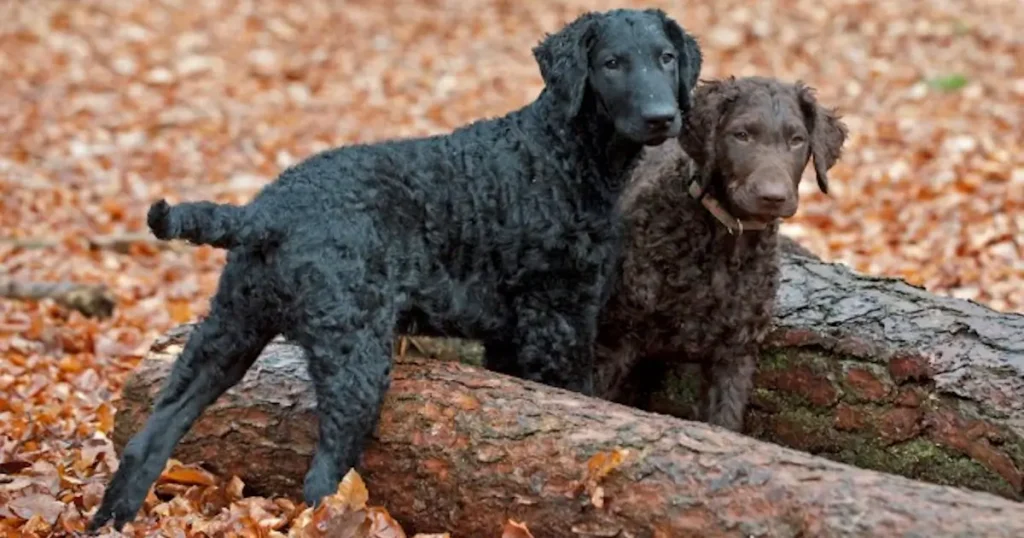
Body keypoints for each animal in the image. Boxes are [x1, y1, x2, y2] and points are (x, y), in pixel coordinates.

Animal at [88, 9, 700, 532]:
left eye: (666, 57)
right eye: (611, 63)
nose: (661, 118)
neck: (555, 153)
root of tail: (264, 213)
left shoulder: (509, 336)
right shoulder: (557, 319)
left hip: (227, 332)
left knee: (148, 440)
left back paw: (110, 522)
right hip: (354, 357)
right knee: (319, 479)